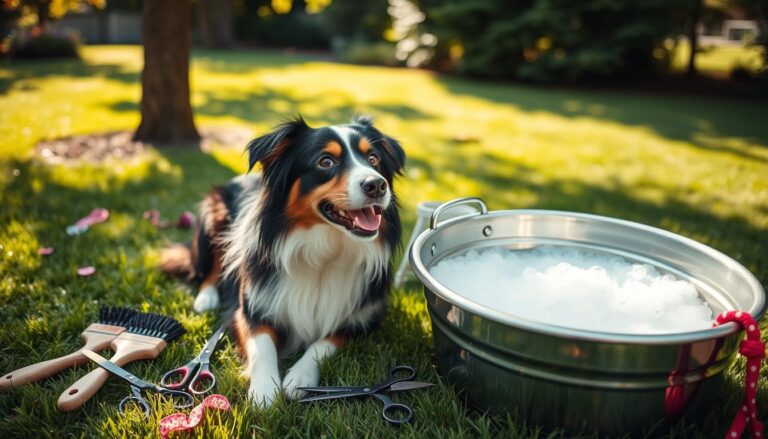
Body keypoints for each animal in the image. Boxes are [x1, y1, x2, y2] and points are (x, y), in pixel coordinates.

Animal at [160, 115, 404, 408]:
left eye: (374, 159)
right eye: (325, 162)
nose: (377, 185)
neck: (324, 252)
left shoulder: (362, 319)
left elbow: (323, 342)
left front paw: (299, 377)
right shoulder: (250, 309)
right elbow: (263, 345)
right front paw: (264, 390)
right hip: (214, 217)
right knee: (212, 267)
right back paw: (206, 298)